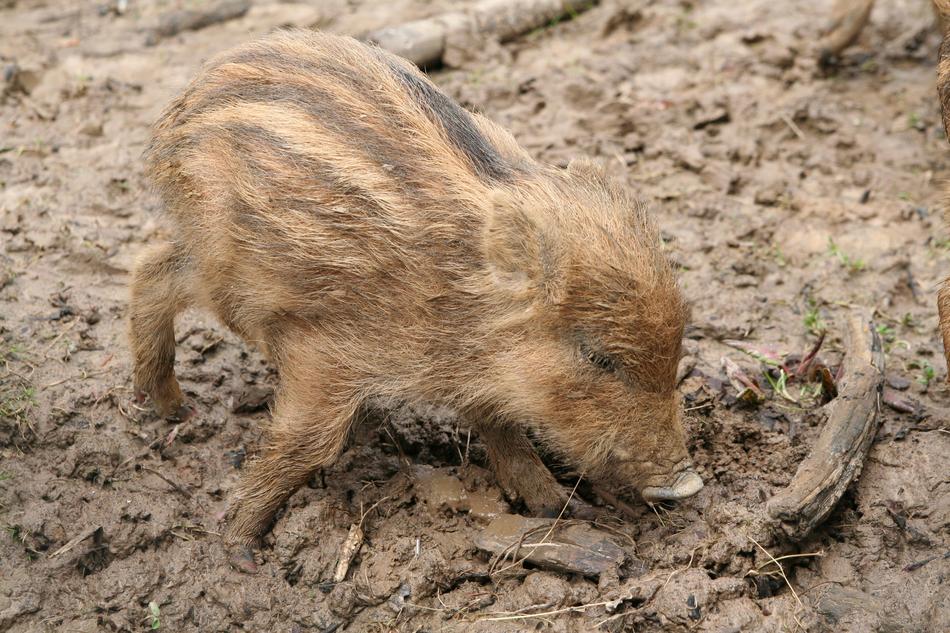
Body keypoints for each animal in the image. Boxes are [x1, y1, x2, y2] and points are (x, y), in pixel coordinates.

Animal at [129, 29, 703, 565]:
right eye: (596, 356)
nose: (687, 483)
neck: (462, 301)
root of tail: (184, 101)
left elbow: (505, 432)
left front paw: (562, 508)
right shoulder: (328, 352)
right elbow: (305, 445)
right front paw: (241, 549)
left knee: (153, 264)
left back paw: (174, 410)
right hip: (224, 267)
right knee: (153, 271)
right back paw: (174, 409)